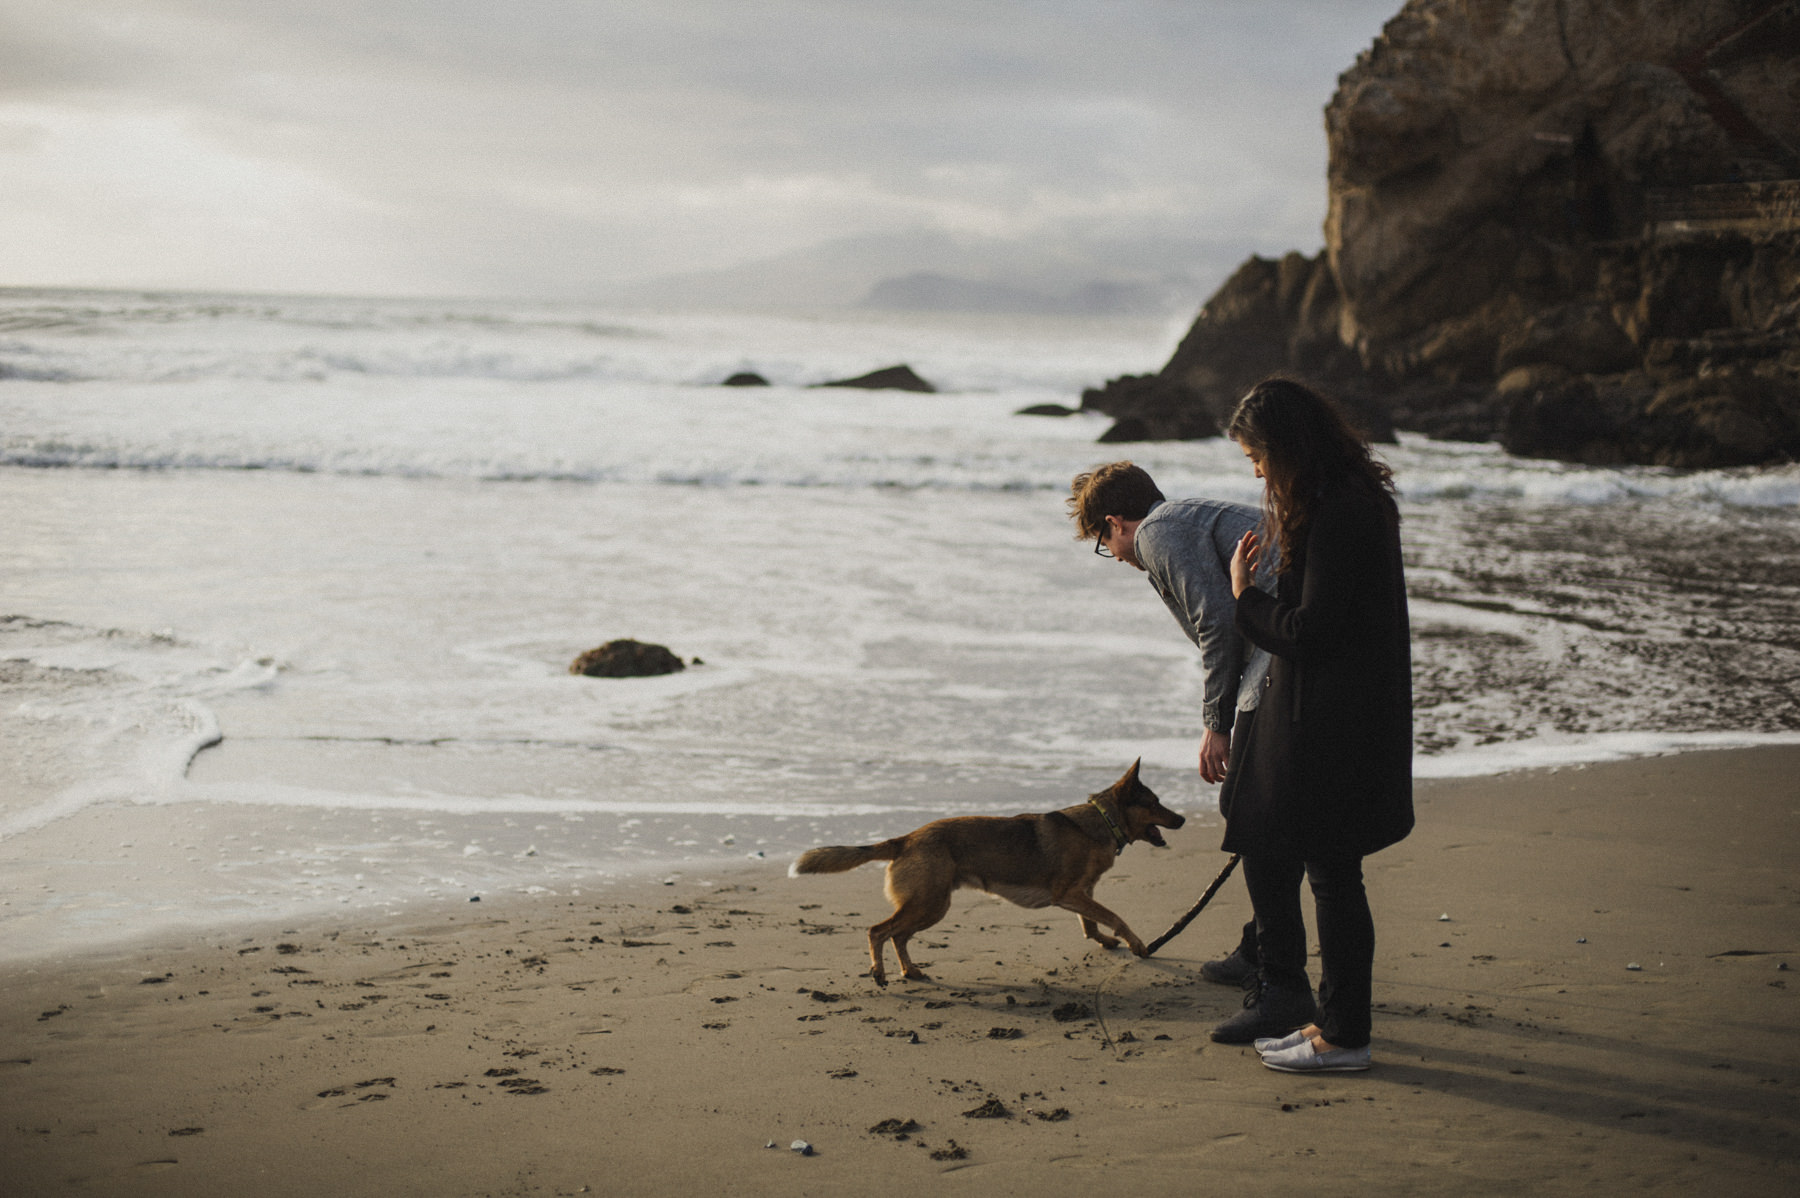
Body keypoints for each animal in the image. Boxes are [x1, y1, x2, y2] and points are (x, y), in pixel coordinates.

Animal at [788, 759, 1180, 985]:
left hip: (932, 907)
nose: (1183, 819)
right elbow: (1115, 916)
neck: (1101, 821)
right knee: (878, 931)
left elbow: (1092, 923)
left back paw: (909, 971)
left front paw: (1106, 941)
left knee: (898, 936)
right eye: (1156, 803)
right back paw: (880, 972)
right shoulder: (1071, 894)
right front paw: (1136, 943)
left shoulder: (1081, 894)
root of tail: (906, 839)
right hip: (929, 904)